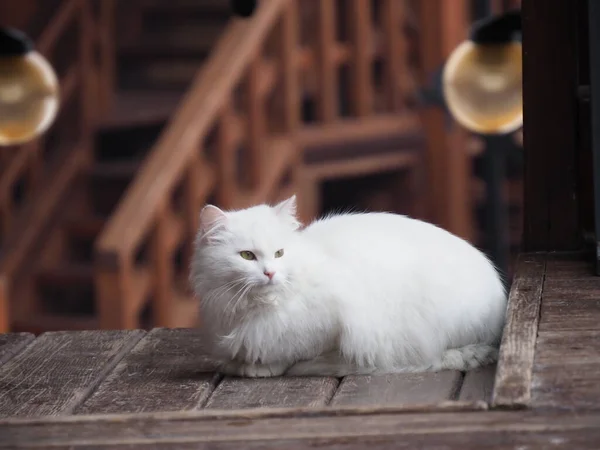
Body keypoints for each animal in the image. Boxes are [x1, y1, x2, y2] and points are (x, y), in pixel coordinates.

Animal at [191, 195, 506, 378]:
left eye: (279, 253)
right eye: (247, 256)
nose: (270, 273)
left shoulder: (336, 325)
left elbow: (296, 352)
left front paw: (262, 368)